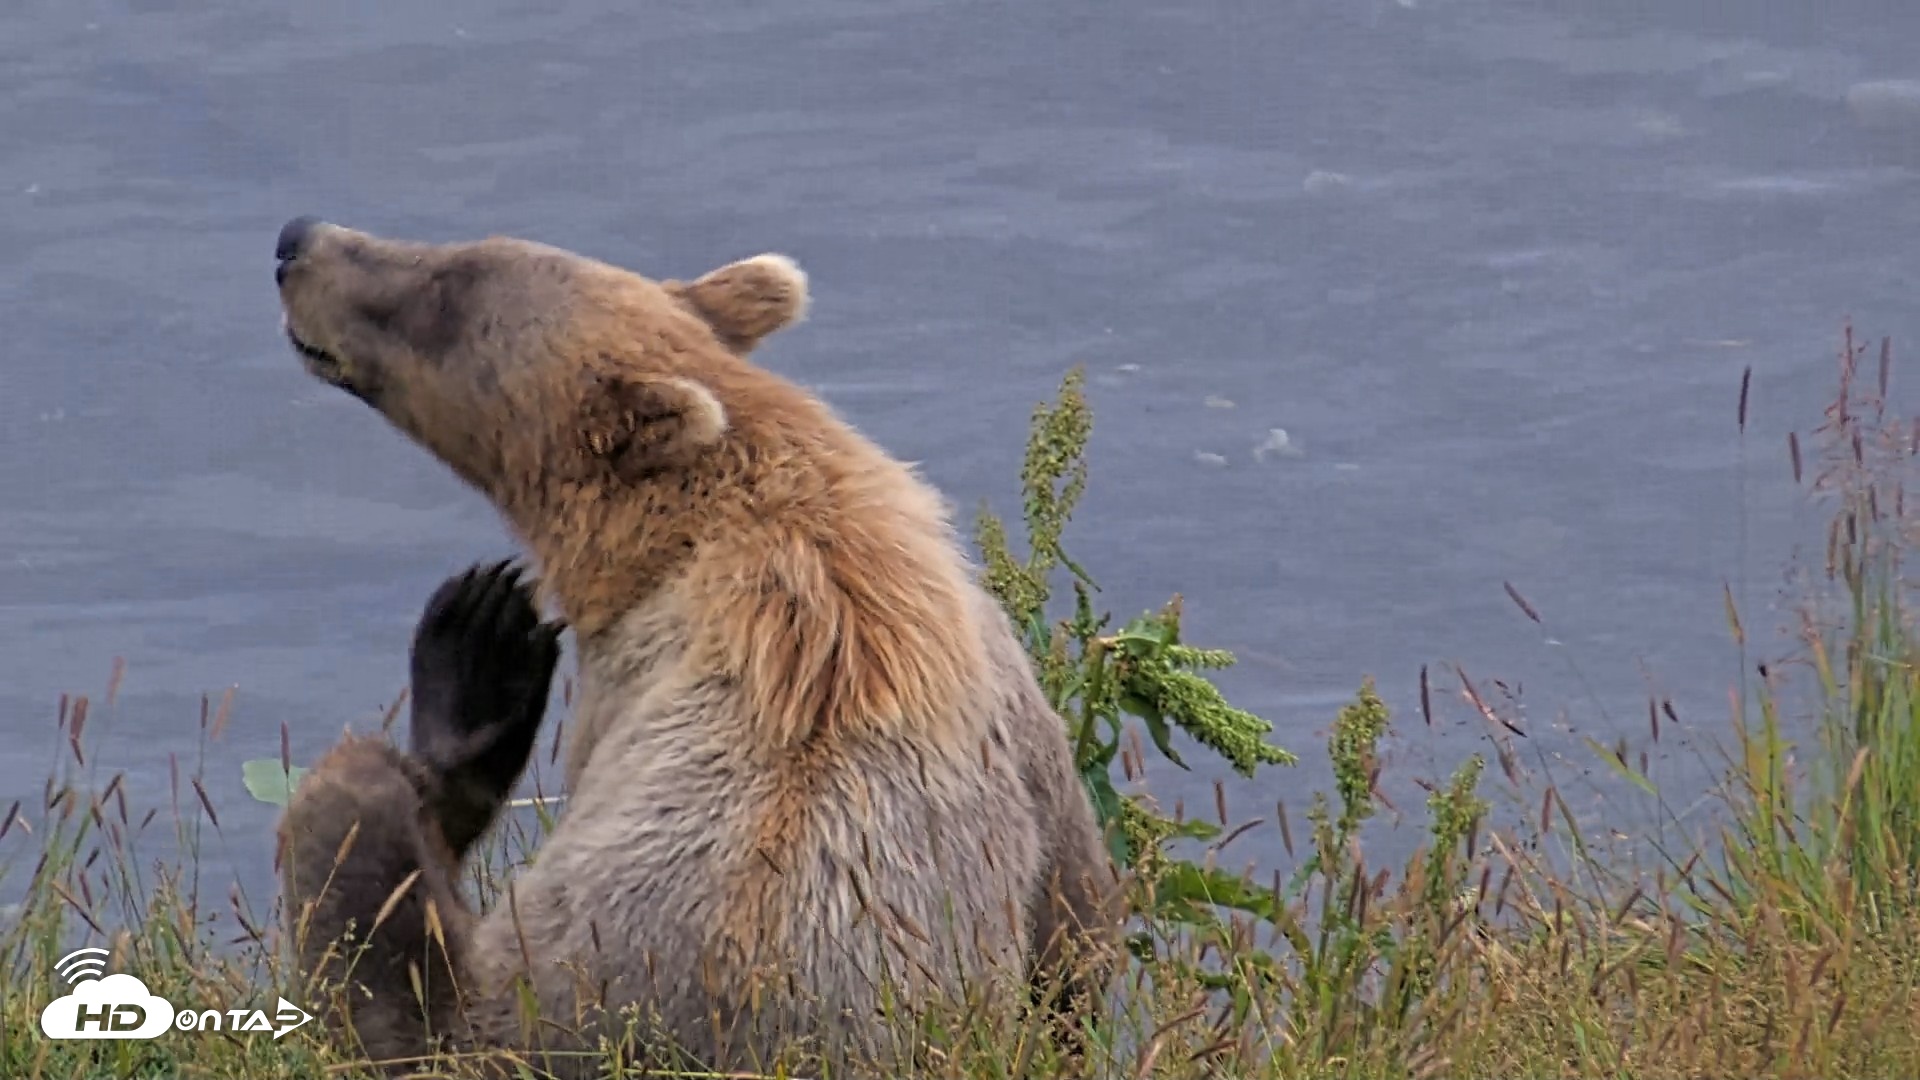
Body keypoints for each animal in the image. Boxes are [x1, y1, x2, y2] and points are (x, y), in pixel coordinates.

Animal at [271, 216, 1124, 1077]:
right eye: (451, 252)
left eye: (441, 293)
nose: (298, 241)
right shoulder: (1015, 705)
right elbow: (1078, 926)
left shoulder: (629, 683)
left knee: (354, 838)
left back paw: (475, 661)